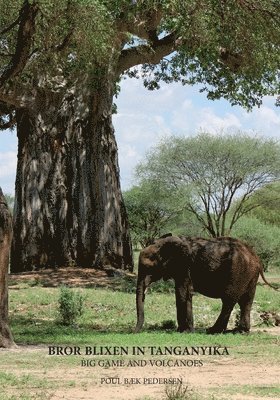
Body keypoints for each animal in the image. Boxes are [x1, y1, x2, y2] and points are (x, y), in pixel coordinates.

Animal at [135, 234, 274, 334]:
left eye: (149, 267)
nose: (135, 332)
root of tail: (256, 257)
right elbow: (187, 294)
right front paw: (188, 330)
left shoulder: (184, 266)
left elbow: (181, 294)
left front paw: (183, 331)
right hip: (250, 275)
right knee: (246, 301)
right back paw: (240, 331)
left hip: (238, 271)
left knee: (229, 301)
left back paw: (213, 330)